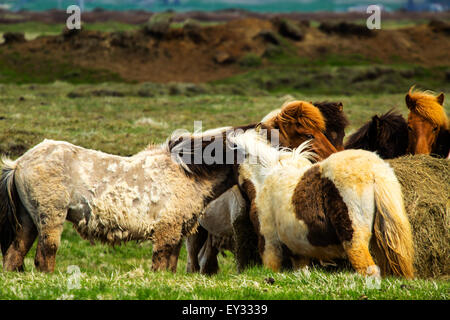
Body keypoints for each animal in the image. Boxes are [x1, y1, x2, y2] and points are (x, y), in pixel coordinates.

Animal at [0, 127, 241, 272]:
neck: (186, 173)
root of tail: (19, 163)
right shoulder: (166, 231)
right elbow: (160, 264)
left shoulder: (176, 233)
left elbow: (170, 266)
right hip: (50, 217)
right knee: (45, 256)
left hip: (28, 222)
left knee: (14, 255)